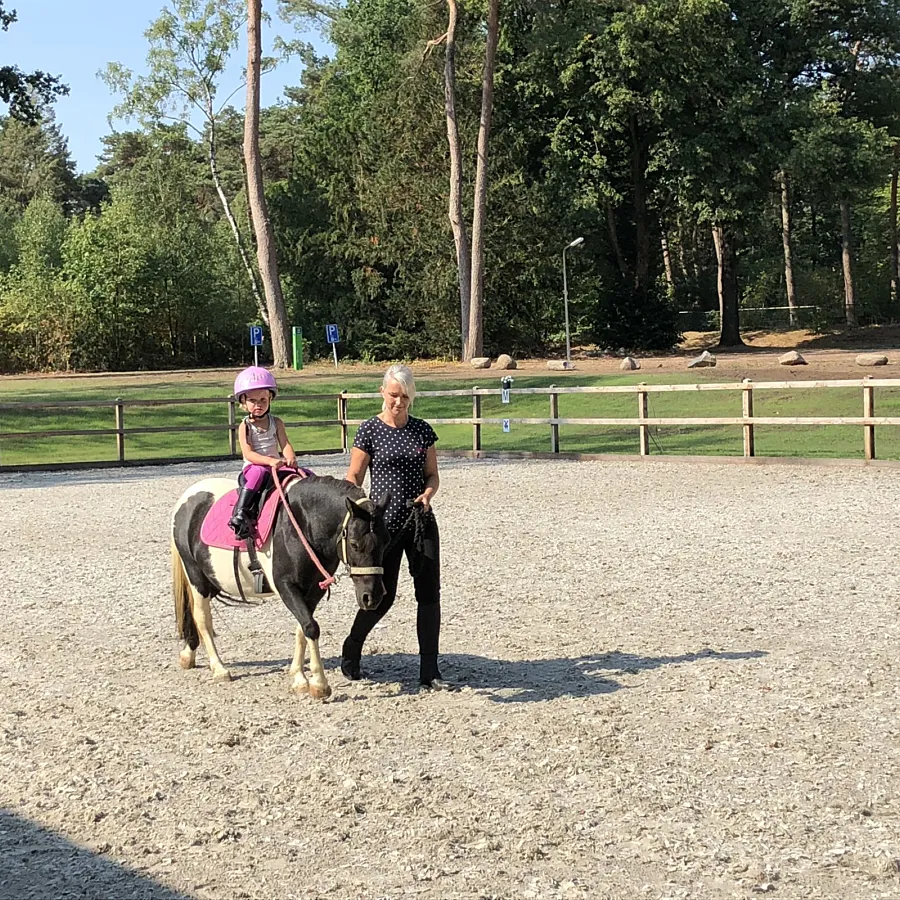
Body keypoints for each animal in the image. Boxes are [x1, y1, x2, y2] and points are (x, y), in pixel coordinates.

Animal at [172, 474, 390, 700]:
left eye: (387, 542)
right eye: (354, 544)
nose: (372, 596)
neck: (304, 524)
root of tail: (189, 497)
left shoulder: (314, 591)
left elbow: (302, 628)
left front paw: (299, 677)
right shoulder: (286, 587)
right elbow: (311, 627)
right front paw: (318, 684)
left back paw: (188, 654)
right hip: (196, 577)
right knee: (202, 619)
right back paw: (219, 668)